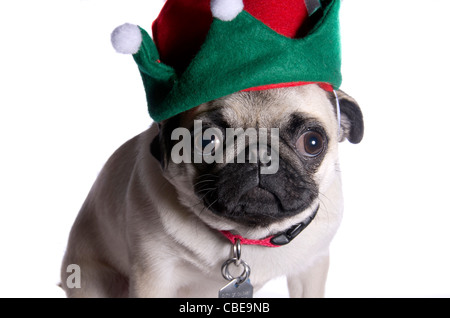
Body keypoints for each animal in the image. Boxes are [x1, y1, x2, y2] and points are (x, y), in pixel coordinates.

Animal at [59, 84, 364, 298]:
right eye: (207, 141)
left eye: (312, 142)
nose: (259, 156)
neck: (247, 236)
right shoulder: (154, 274)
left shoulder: (311, 268)